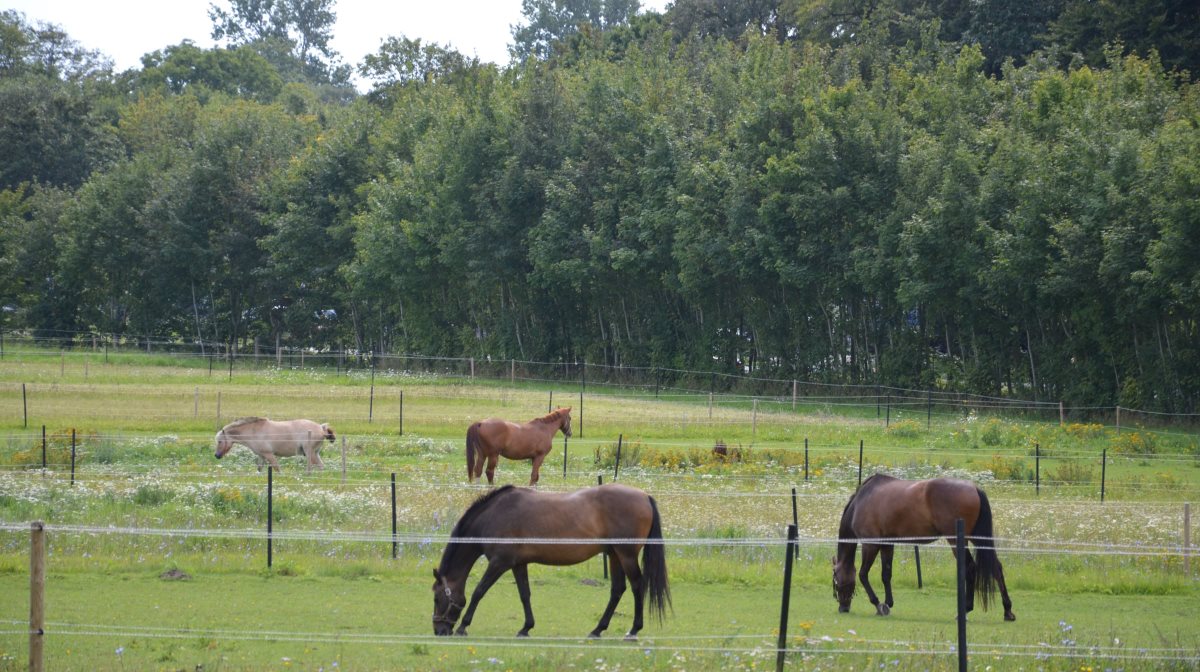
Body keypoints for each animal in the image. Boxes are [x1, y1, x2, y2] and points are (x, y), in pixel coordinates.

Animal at [434, 484, 676, 638]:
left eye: (437, 597)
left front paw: (463, 627)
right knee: (617, 589)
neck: (495, 514)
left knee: (637, 586)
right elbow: (524, 594)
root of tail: (644, 496)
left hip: (626, 555)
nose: (439, 631)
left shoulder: (499, 563)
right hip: (615, 555)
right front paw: (526, 628)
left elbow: (479, 591)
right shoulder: (518, 564)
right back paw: (597, 630)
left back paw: (633, 630)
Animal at [835, 475, 1012, 624]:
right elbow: (886, 575)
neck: (863, 500)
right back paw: (1008, 611)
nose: (843, 608)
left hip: (956, 541)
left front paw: (878, 604)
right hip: (977, 539)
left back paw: (966, 610)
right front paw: (888, 603)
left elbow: (863, 575)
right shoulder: (887, 544)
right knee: (996, 567)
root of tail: (974, 488)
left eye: (835, 580)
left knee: (970, 568)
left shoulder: (870, 544)